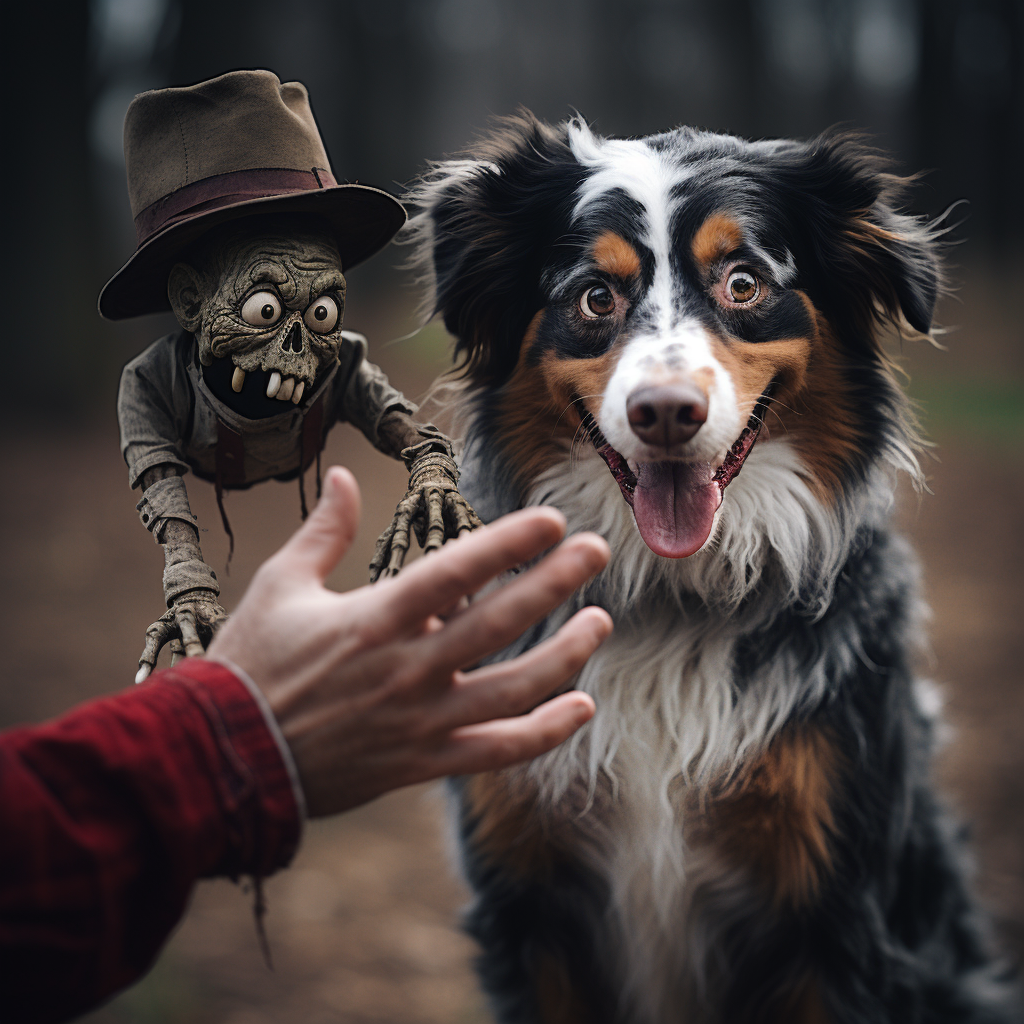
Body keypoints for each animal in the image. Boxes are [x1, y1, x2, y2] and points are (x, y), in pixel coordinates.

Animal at [403, 114, 1011, 1024]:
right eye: (595, 296)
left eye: (744, 284)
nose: (664, 413)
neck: (671, 595)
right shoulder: (529, 897)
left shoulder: (833, 913)